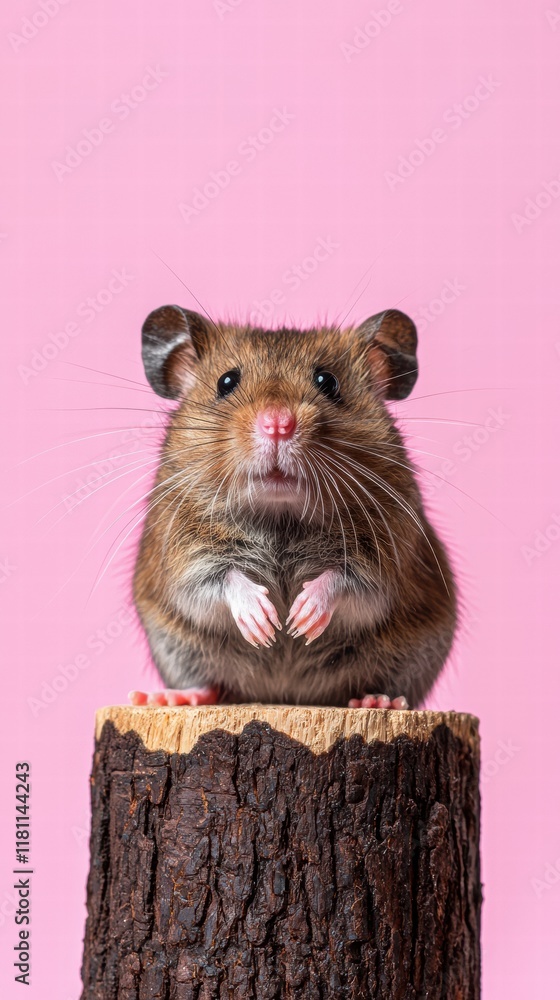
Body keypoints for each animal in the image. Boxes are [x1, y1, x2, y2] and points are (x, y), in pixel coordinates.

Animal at [130, 305, 457, 710]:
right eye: (226, 382)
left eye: (327, 381)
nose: (278, 424)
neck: (280, 514)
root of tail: (282, 694)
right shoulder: (187, 558)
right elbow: (222, 580)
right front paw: (266, 625)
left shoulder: (380, 560)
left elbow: (344, 581)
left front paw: (301, 620)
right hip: (180, 648)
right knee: (212, 684)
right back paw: (171, 697)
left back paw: (377, 701)